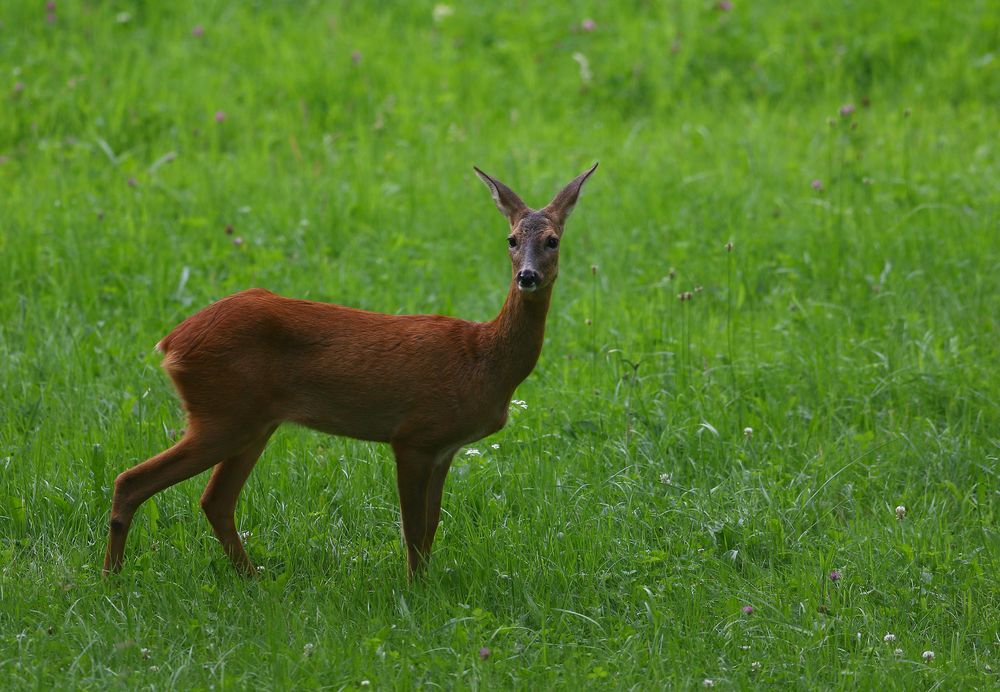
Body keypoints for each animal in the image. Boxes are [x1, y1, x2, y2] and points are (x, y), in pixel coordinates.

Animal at [105, 162, 596, 580]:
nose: (527, 277)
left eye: (552, 240)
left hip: (252, 422)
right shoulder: (414, 436)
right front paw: (415, 592)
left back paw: (252, 579)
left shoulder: (446, 448)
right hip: (223, 413)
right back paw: (112, 578)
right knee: (132, 480)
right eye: (511, 239)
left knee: (215, 500)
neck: (483, 360)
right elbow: (413, 529)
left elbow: (431, 525)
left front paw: (426, 585)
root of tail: (171, 343)